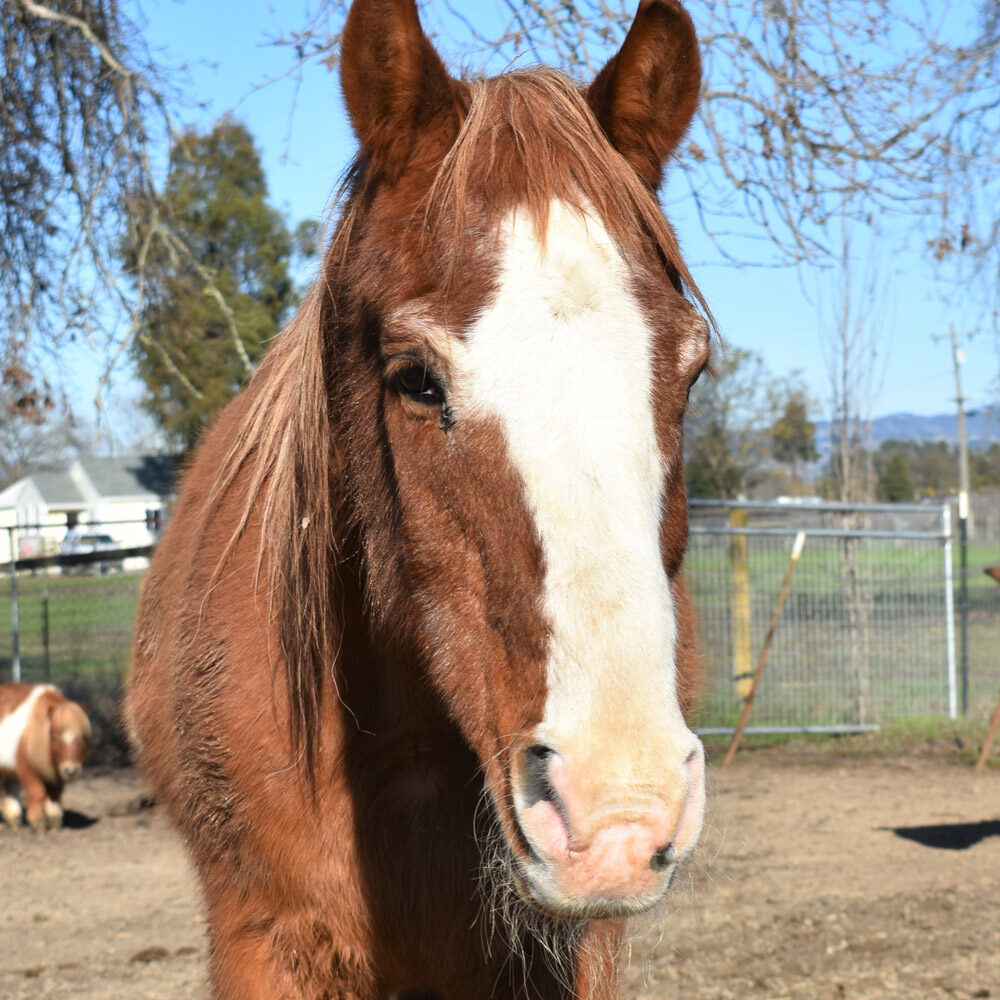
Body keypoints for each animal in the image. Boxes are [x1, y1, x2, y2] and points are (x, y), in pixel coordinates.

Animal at [0, 684, 91, 832]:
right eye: (54, 737)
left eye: (82, 738)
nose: (71, 770)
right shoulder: (29, 771)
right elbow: (37, 793)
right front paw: (38, 823)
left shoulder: (56, 773)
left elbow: (54, 794)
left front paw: (54, 822)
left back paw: (14, 820)